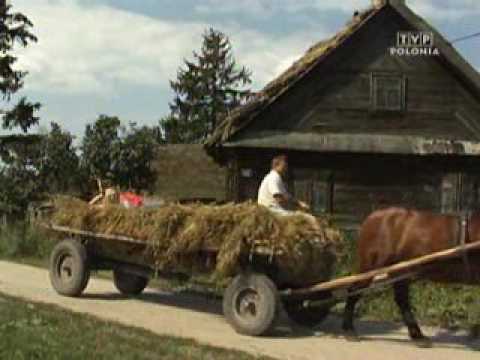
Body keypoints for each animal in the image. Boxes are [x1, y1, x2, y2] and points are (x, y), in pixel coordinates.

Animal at [344, 208, 480, 346]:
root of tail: (372, 217)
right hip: (370, 267)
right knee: (354, 291)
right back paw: (349, 330)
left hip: (399, 271)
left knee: (401, 299)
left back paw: (417, 335)